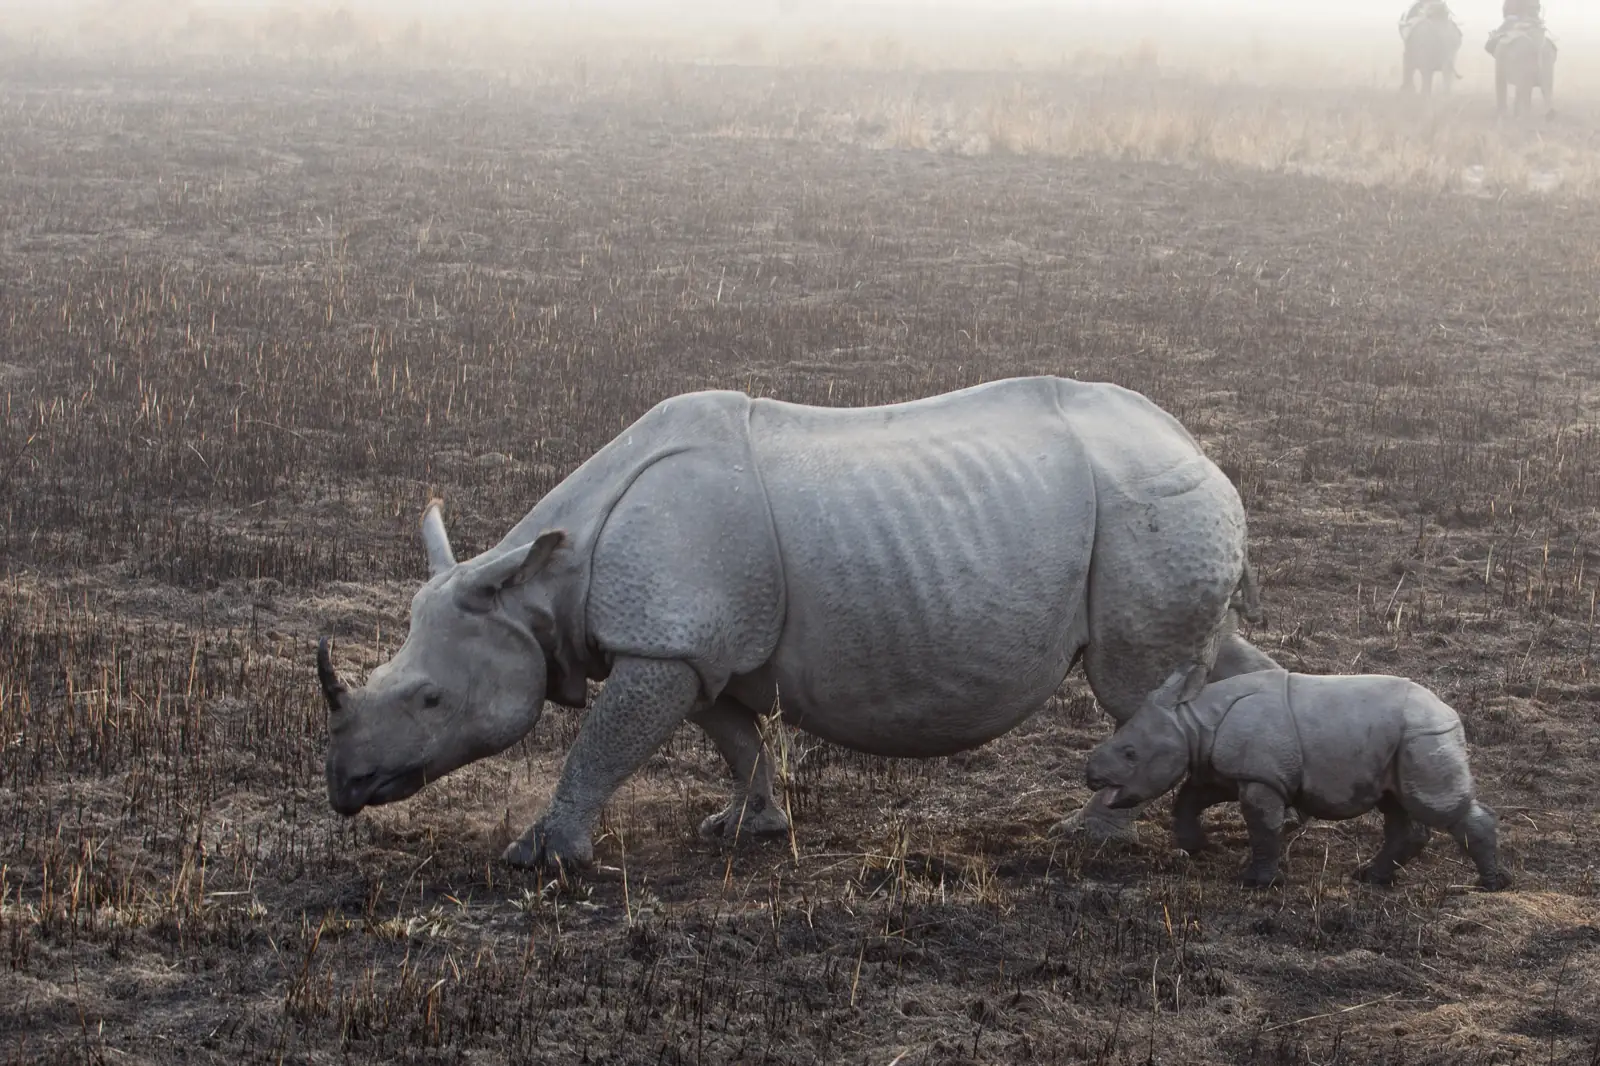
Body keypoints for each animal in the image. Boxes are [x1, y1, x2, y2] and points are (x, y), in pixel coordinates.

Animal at [316, 376, 1280, 873]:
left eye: (430, 700)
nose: (343, 789)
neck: (540, 583)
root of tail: (1198, 449)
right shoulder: (697, 646)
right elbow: (735, 737)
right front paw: (749, 829)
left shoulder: (665, 642)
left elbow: (603, 743)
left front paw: (541, 859)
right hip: (1163, 510)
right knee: (1206, 661)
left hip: (1150, 510)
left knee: (1133, 682)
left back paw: (1086, 840)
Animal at [1085, 665, 1510, 892]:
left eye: (1130, 753)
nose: (1091, 776)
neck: (1192, 720)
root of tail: (1448, 710)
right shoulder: (1222, 767)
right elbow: (1188, 798)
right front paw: (1196, 847)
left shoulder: (1261, 777)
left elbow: (1262, 826)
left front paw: (1255, 882)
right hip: (1401, 740)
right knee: (1396, 805)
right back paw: (1370, 878)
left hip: (1425, 735)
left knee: (1439, 807)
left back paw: (1492, 884)